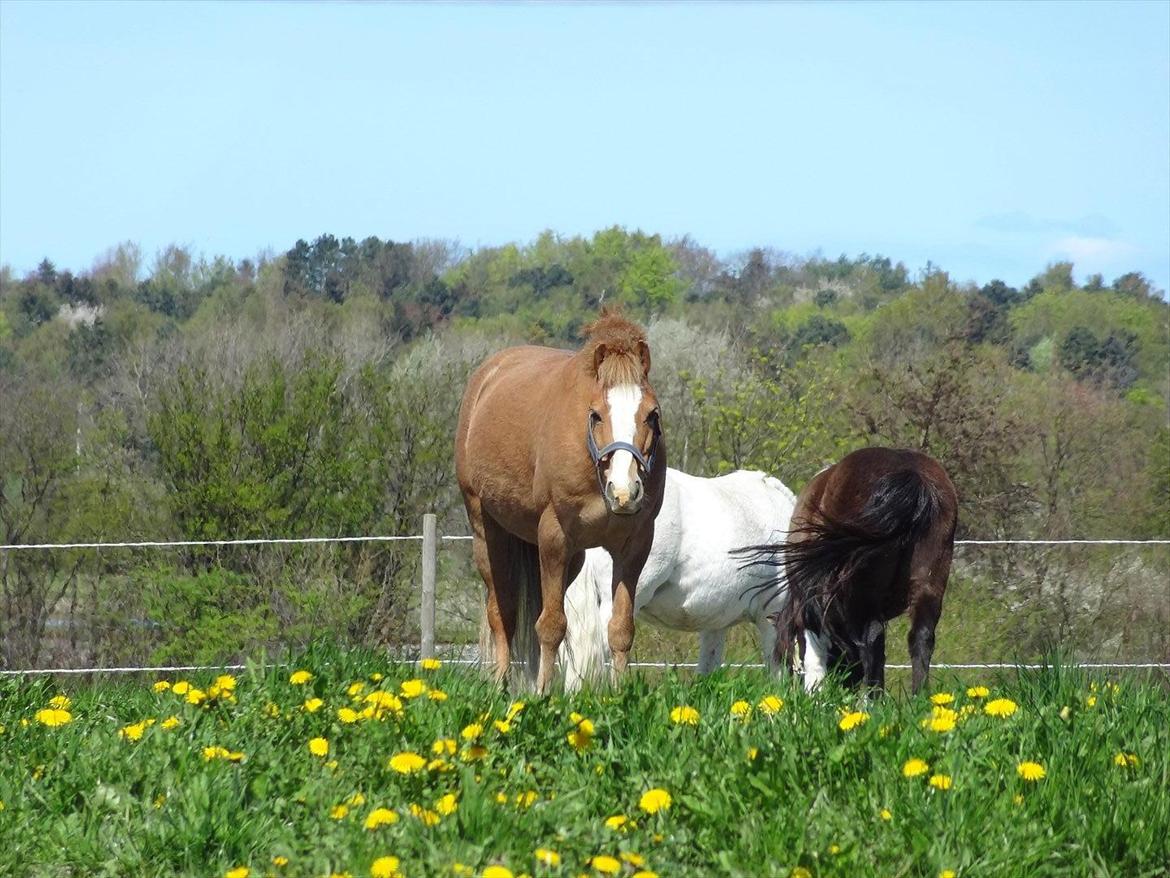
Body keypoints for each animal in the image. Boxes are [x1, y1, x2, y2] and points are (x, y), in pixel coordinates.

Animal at [455, 310, 667, 693]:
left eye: (651, 415)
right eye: (596, 414)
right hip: (487, 533)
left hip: (573, 559)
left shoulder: (634, 546)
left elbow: (620, 629)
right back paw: (501, 686)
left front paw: (618, 693)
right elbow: (551, 625)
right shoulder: (553, 538)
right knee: (502, 614)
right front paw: (541, 694)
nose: (624, 491)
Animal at [743, 447, 957, 694]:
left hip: (862, 595)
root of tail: (912, 475)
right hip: (929, 583)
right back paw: (918, 696)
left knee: (872, 639)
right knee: (921, 637)